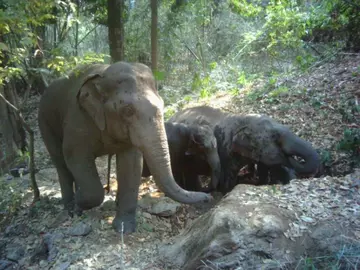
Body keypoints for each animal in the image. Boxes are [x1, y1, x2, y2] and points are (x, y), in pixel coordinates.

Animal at [37, 61, 211, 234]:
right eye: (128, 111)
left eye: (162, 105)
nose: (208, 198)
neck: (102, 76)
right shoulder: (77, 121)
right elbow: (75, 156)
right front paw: (79, 203)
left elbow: (131, 163)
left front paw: (124, 227)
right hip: (44, 122)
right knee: (61, 163)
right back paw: (70, 209)